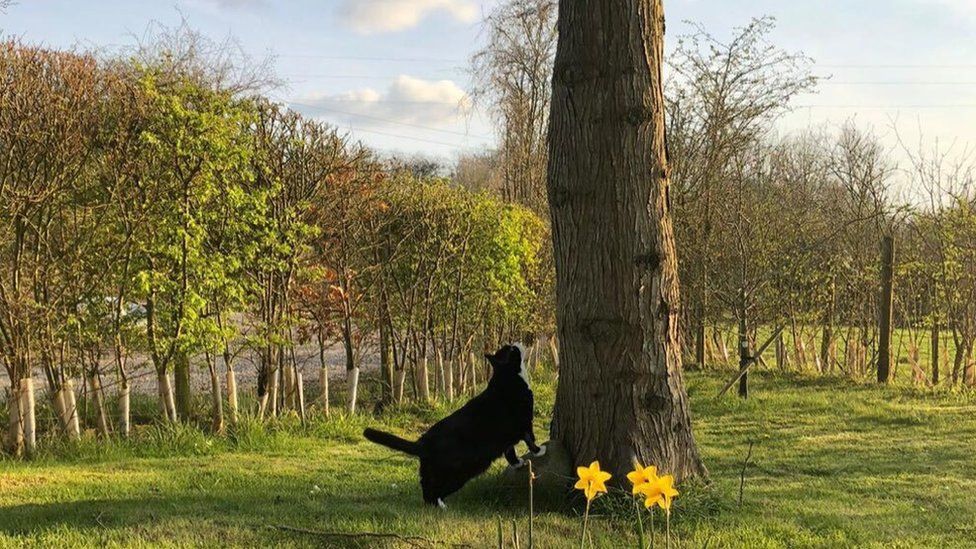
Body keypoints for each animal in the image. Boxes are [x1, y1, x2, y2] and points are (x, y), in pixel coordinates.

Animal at [362, 340, 544, 508]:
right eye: (512, 349)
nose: (516, 342)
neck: (508, 377)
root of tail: (423, 442)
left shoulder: (506, 437)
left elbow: (509, 452)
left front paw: (518, 463)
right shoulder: (524, 421)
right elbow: (530, 438)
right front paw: (539, 450)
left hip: (434, 471)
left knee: (425, 486)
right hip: (460, 472)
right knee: (436, 488)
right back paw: (441, 505)